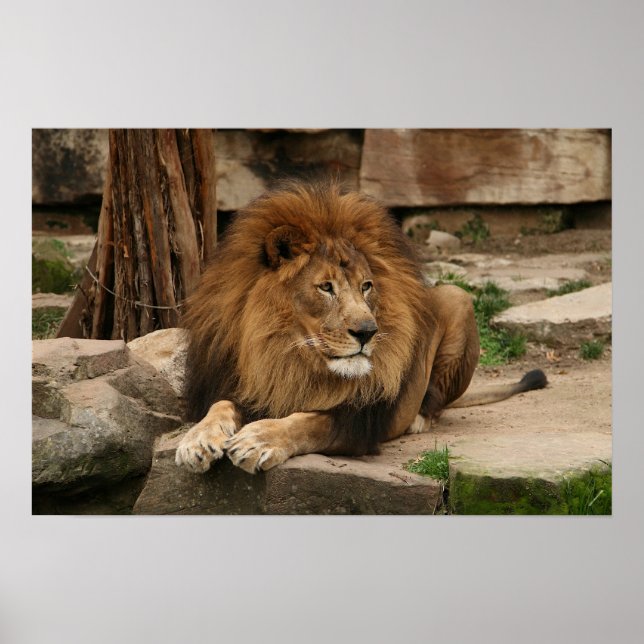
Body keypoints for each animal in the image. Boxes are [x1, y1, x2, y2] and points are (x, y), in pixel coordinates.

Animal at [175, 180, 547, 474]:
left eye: (366, 286)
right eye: (326, 287)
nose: (368, 332)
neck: (285, 353)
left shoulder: (356, 421)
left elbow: (309, 422)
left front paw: (259, 439)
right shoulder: (251, 386)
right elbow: (221, 405)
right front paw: (197, 440)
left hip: (458, 298)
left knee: (436, 400)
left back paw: (419, 418)